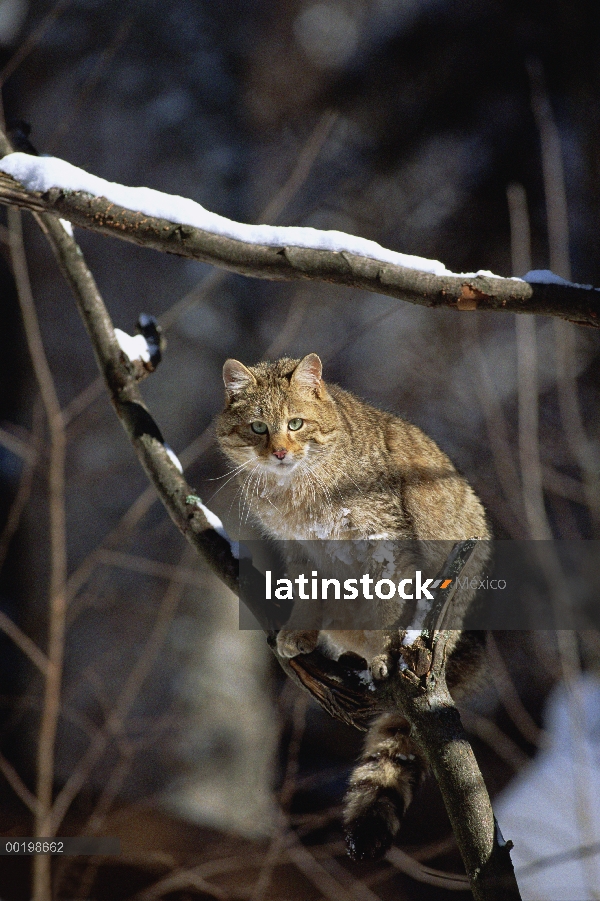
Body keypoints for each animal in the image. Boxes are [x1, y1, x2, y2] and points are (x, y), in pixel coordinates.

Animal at [214, 352, 488, 856]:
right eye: (258, 428)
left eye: (296, 423)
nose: (279, 452)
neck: (295, 493)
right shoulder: (301, 550)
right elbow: (308, 593)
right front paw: (300, 632)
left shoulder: (384, 540)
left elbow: (387, 607)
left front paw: (383, 655)